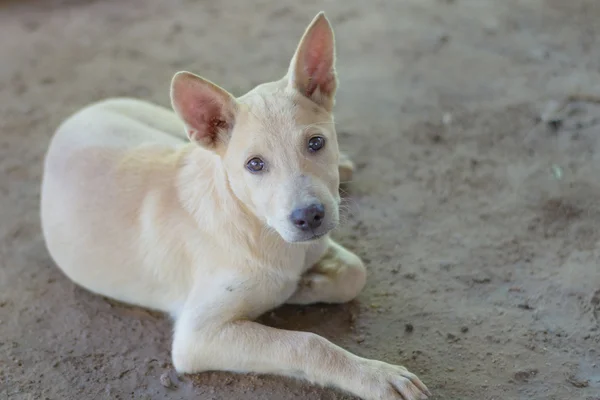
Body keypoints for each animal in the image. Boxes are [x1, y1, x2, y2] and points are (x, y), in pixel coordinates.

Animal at [38, 10, 432, 398]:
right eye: (254, 165)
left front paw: (303, 286)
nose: (309, 217)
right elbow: (306, 343)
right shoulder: (197, 337)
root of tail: (76, 116)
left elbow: (354, 271)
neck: (257, 225)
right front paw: (377, 376)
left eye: (316, 143)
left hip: (170, 130)